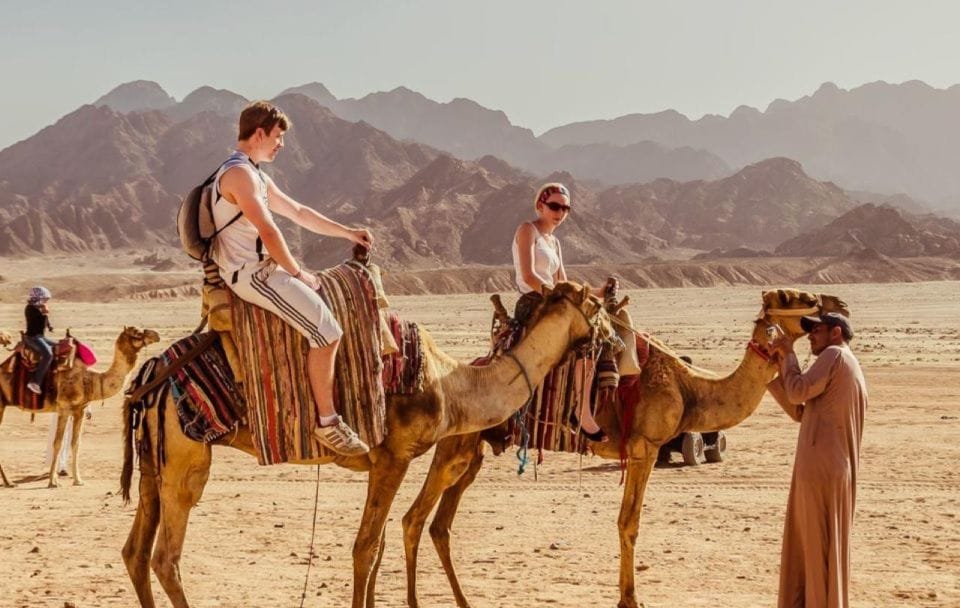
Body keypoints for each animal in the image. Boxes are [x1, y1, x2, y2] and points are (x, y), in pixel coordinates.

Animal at [0, 326, 160, 488]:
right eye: (137, 333)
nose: (156, 335)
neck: (90, 379)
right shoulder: (64, 408)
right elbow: (57, 443)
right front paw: (53, 481)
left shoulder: (80, 410)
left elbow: (76, 444)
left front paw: (78, 480)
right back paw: (9, 482)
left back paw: (9, 482)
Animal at [119, 281, 613, 608]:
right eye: (599, 306)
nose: (610, 337)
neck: (451, 386)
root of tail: (149, 375)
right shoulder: (393, 456)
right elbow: (365, 548)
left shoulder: (384, 462)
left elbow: (376, 548)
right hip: (185, 457)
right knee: (165, 557)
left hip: (153, 463)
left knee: (135, 553)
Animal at [399, 288, 850, 608]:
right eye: (796, 298)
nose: (839, 305)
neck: (690, 388)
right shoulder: (644, 447)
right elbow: (628, 522)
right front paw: (630, 599)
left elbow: (627, 522)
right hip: (455, 448)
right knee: (413, 518)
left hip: (472, 453)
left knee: (440, 525)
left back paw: (464, 601)